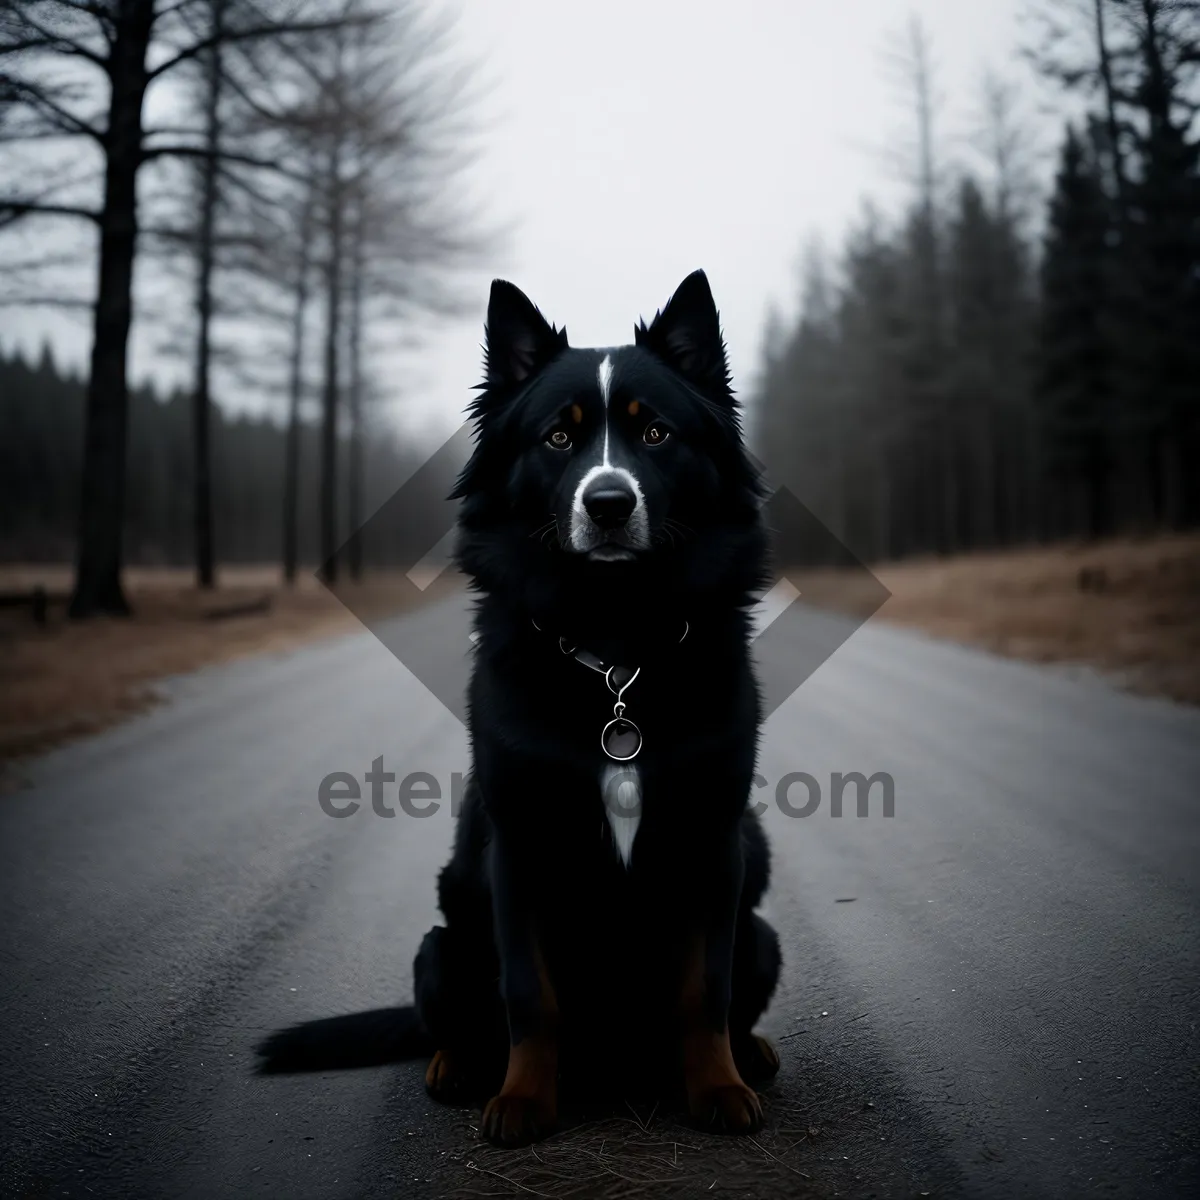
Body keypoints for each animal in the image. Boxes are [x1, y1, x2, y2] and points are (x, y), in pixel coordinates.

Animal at [258, 270, 782, 1142]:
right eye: (558, 440)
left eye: (657, 433)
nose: (608, 504)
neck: (614, 643)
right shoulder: (521, 846)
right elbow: (530, 996)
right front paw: (525, 1101)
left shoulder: (713, 840)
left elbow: (704, 991)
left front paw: (716, 1086)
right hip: (440, 946)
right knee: (459, 1014)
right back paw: (460, 1065)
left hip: (762, 933)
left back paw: (753, 1053)